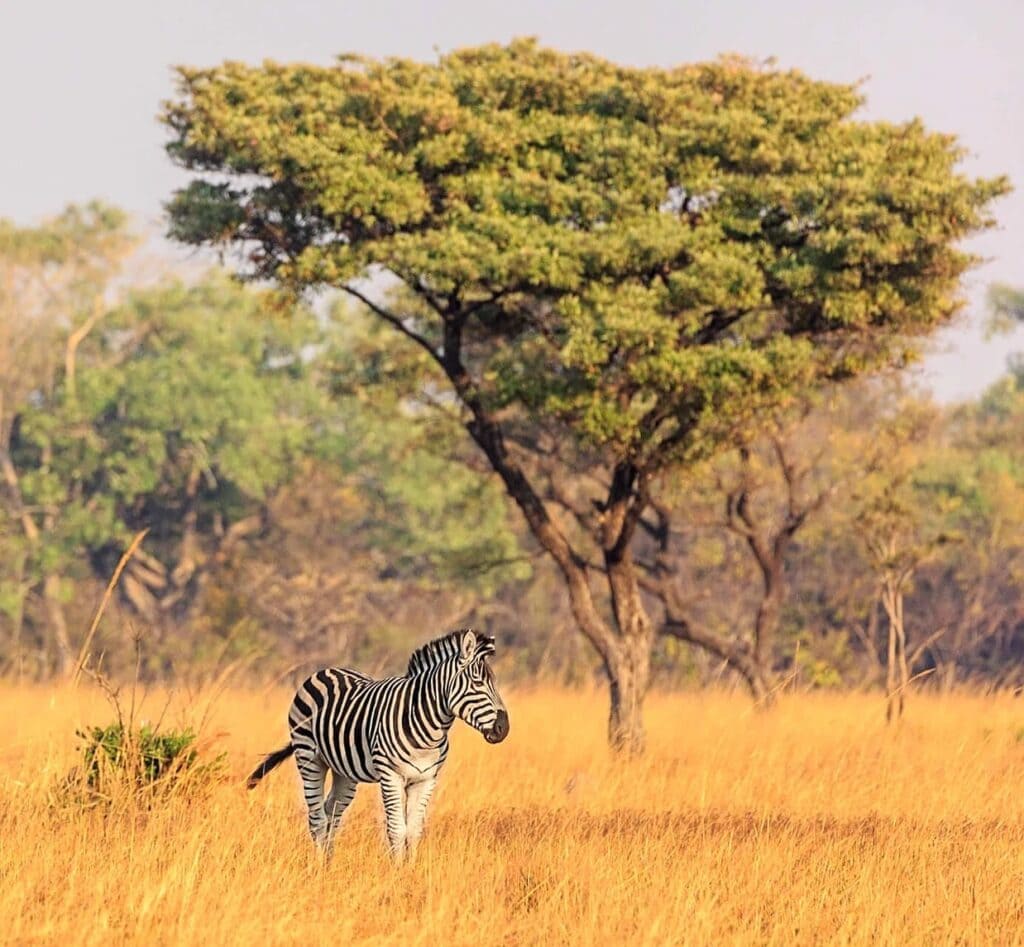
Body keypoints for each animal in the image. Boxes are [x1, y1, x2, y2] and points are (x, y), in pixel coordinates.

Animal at [246, 629, 509, 858]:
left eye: (495, 683)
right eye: (477, 683)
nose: (503, 728)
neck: (428, 730)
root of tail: (326, 670)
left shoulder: (426, 779)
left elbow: (414, 831)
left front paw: (411, 872)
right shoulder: (391, 775)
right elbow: (397, 829)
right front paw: (398, 874)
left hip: (345, 772)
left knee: (332, 812)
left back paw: (330, 863)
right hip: (309, 758)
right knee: (317, 818)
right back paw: (319, 868)